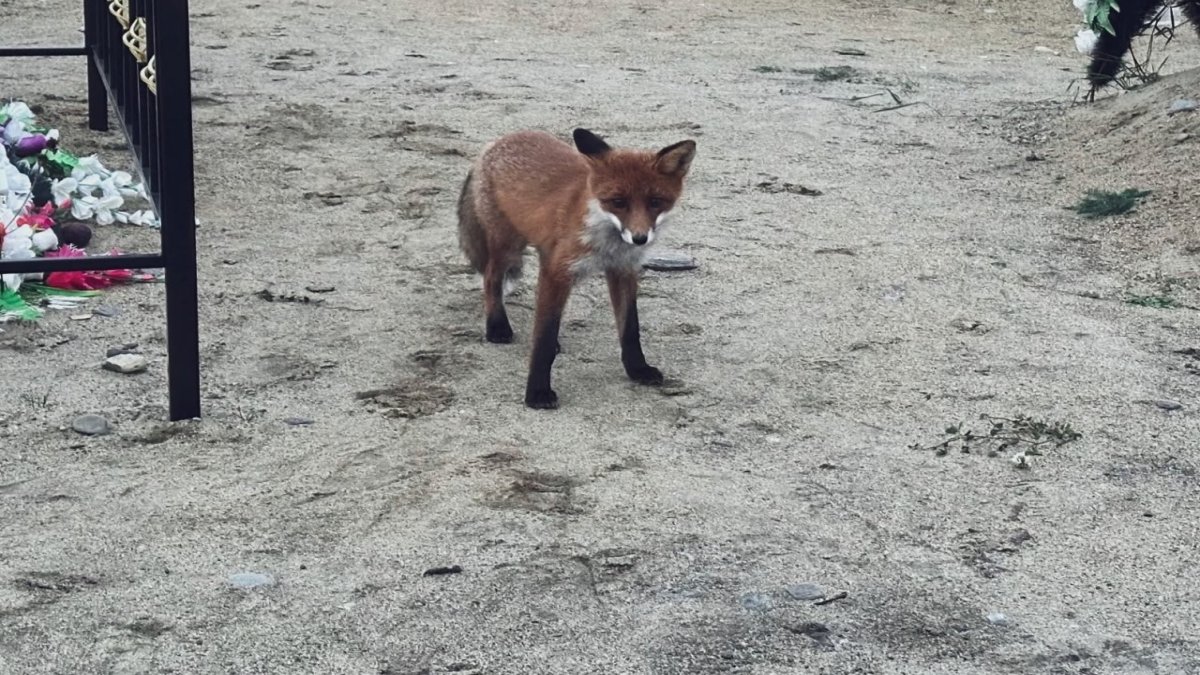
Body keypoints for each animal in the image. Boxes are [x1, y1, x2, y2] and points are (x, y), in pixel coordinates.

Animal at [456, 127, 697, 410]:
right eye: (618, 202)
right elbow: (544, 338)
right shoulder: (557, 271)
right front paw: (537, 393)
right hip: (508, 244)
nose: (639, 239)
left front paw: (637, 369)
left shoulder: (623, 270)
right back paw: (497, 327)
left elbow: (630, 329)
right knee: (491, 278)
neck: (605, 240)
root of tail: (499, 140)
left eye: (655, 201)